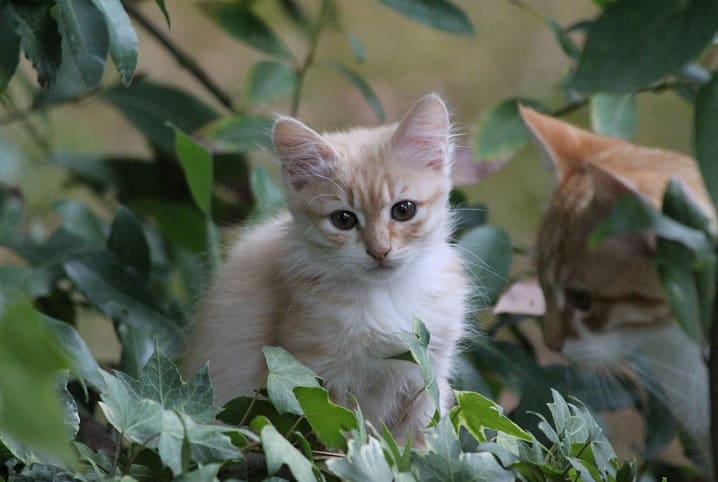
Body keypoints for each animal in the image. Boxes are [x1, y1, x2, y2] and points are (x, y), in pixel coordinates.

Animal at [183, 93, 470, 440]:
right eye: (343, 219)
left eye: (404, 210)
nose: (379, 251)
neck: (387, 298)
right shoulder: (317, 385)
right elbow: (339, 440)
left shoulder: (427, 379)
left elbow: (416, 446)